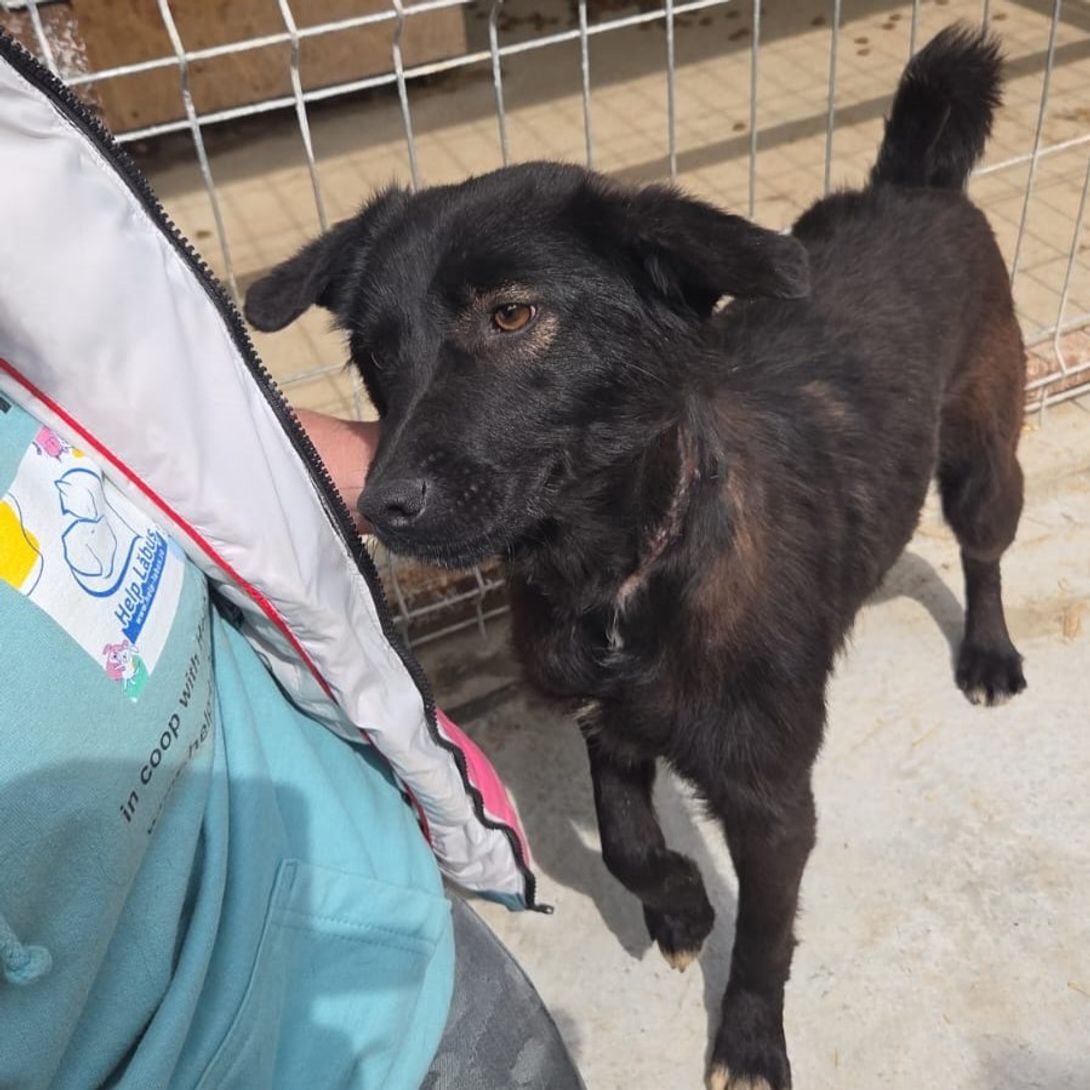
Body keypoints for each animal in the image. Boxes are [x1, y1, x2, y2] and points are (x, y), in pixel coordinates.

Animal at [246, 25, 1026, 1089]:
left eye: (511, 315)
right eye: (372, 350)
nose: (381, 505)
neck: (621, 580)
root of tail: (917, 184)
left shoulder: (771, 797)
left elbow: (767, 933)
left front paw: (749, 1038)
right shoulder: (606, 726)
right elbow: (624, 846)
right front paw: (684, 906)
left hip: (983, 456)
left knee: (984, 552)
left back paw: (988, 654)